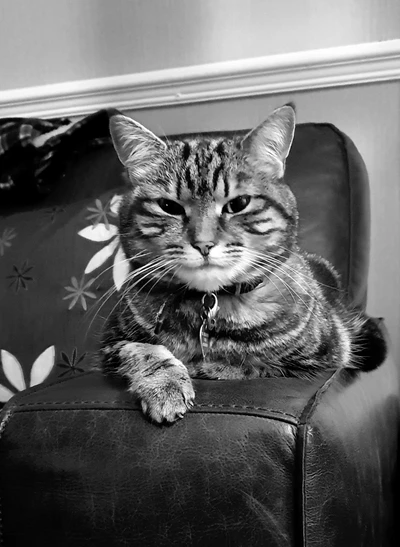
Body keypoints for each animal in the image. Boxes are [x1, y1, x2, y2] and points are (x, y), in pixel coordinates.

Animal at [101, 106, 386, 424]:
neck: (209, 306)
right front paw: (165, 387)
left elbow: (255, 363)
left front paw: (210, 366)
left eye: (239, 204)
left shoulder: (325, 357)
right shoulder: (112, 342)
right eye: (169, 207)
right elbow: (146, 350)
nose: (203, 244)